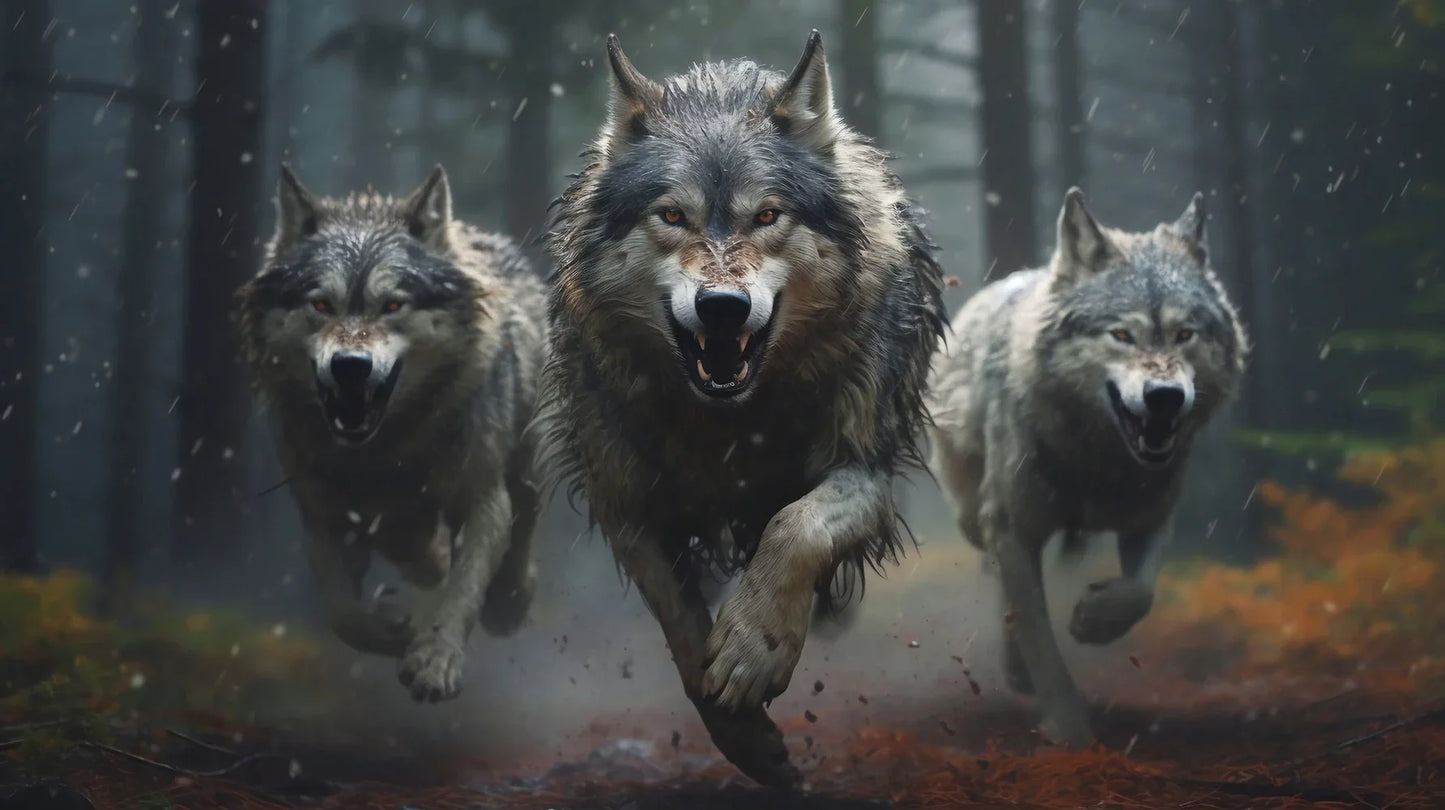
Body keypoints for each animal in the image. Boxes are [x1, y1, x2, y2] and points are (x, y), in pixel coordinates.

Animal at [237, 165, 547, 703]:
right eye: (322, 304)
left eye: (393, 305)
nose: (350, 366)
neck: (384, 452)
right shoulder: (322, 515)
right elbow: (342, 611)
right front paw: (393, 632)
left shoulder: (482, 500)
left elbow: (462, 592)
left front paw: (435, 661)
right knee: (422, 555)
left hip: (521, 463)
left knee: (523, 518)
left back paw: (509, 601)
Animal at [534, 31, 946, 786]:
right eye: (672, 215)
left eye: (767, 215)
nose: (721, 306)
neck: (733, 421)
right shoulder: (628, 503)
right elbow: (680, 625)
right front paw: (744, 738)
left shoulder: (865, 469)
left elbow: (796, 526)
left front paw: (755, 650)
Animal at [927, 188, 1249, 747]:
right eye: (1122, 335)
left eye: (1184, 333)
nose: (1165, 397)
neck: (1097, 464)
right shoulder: (1013, 529)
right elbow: (1041, 643)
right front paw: (1070, 732)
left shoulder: (1151, 519)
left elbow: (1140, 593)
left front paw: (1093, 621)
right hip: (976, 517)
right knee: (1001, 582)